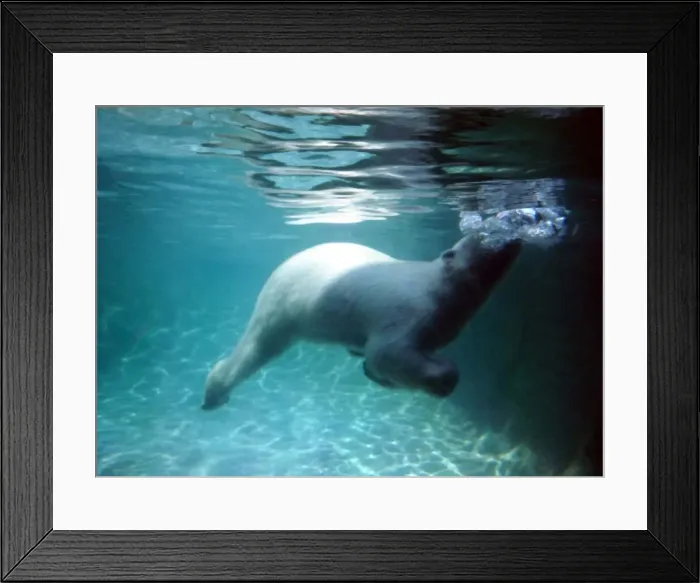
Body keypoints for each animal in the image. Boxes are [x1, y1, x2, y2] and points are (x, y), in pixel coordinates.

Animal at [201, 233, 522, 411]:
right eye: (482, 236)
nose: (513, 236)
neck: (439, 288)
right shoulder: (410, 312)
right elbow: (386, 352)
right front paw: (442, 378)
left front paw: (373, 372)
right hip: (284, 304)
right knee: (258, 347)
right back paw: (214, 393)